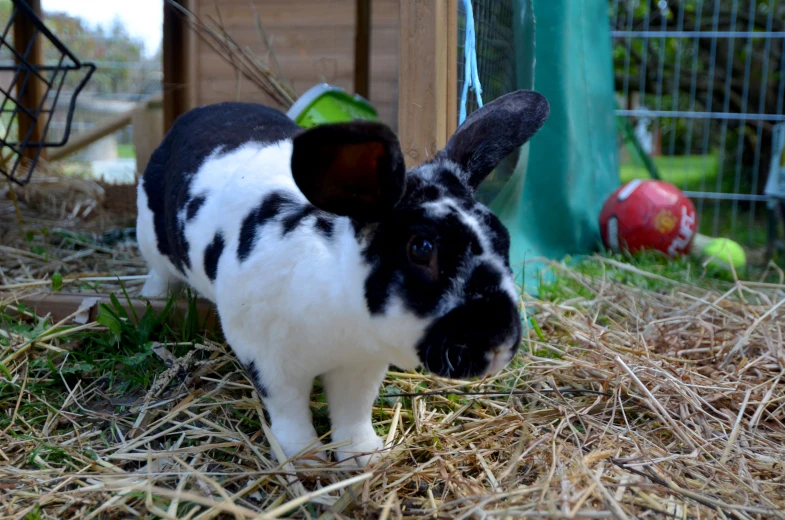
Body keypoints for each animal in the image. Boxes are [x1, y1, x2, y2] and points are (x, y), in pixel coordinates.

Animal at [135, 87, 548, 466]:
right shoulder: (271, 364)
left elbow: (352, 413)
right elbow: (290, 415)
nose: (500, 344)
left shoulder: (360, 368)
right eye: (421, 248)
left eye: (501, 235)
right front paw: (307, 461)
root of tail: (205, 111)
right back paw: (152, 298)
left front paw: (366, 456)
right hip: (150, 239)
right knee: (159, 272)